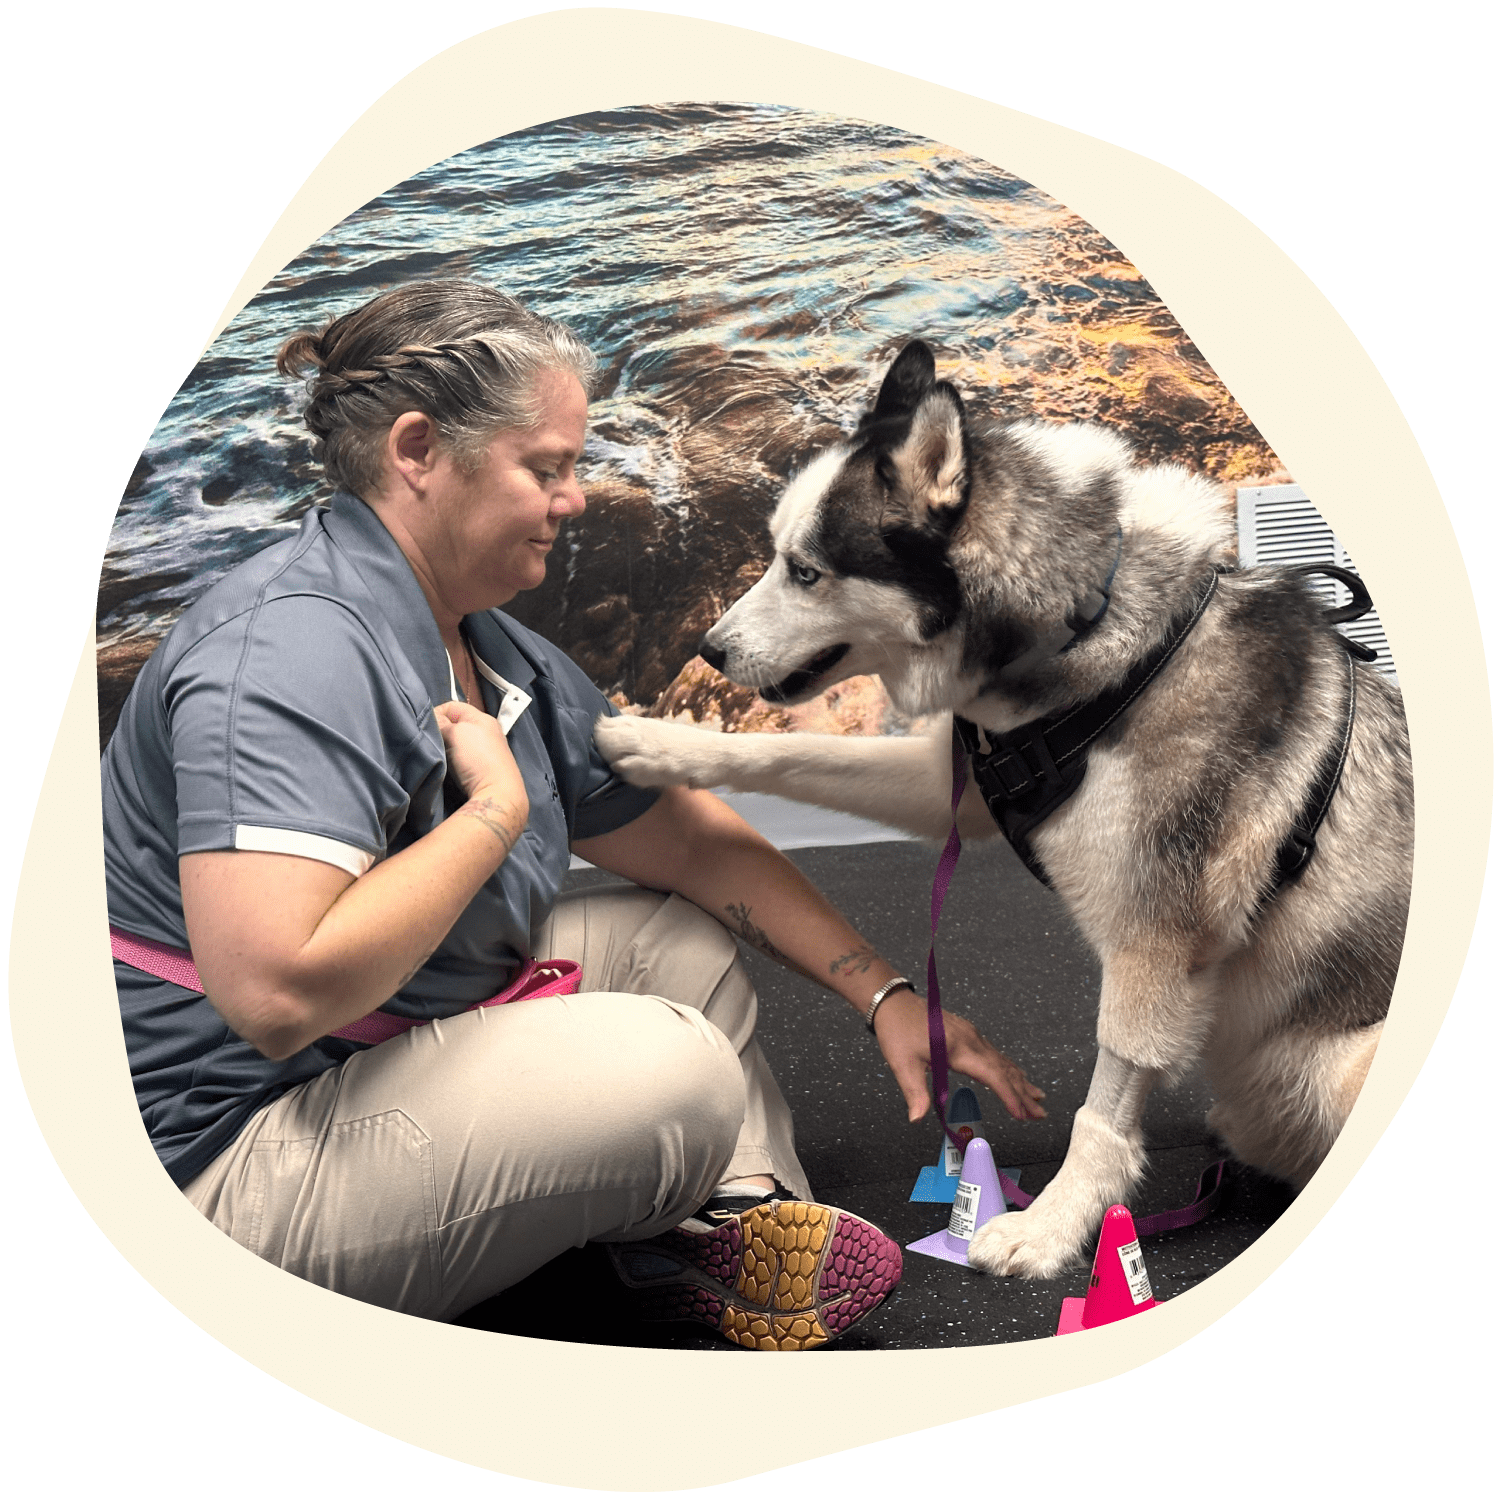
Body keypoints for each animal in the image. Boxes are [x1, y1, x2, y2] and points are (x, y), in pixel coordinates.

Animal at [591, 343, 1410, 1278]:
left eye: (805, 571)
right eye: (773, 555)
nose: (709, 650)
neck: (1093, 634)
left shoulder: (1157, 940)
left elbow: (1104, 1108)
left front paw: (1054, 1225)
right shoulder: (957, 783)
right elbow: (799, 755)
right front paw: (649, 746)